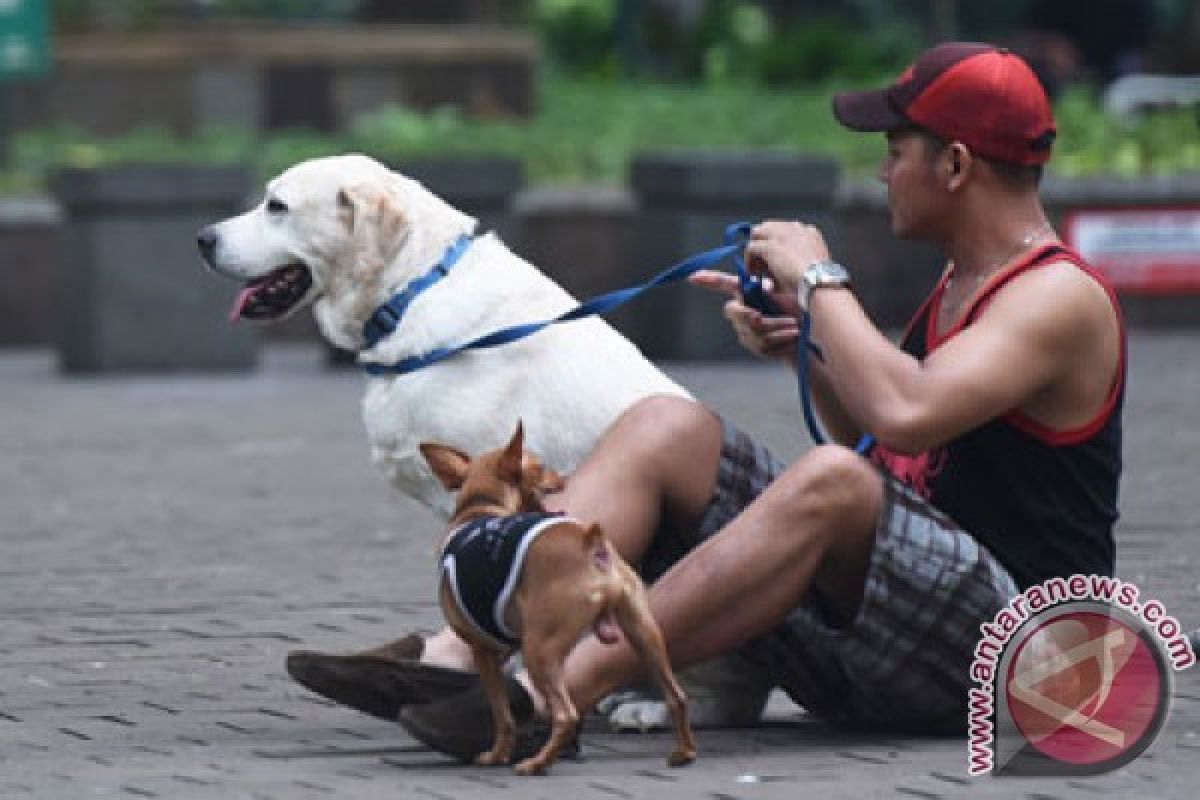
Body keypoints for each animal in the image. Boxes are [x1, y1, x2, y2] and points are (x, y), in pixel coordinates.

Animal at [420, 424, 696, 777]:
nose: (563, 477)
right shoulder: (504, 643)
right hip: (644, 635)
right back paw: (684, 752)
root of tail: (593, 546)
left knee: (566, 715)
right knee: (676, 695)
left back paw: (537, 763)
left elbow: (502, 714)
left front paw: (497, 755)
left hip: (540, 650)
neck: (481, 506)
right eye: (541, 467)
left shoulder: (483, 650)